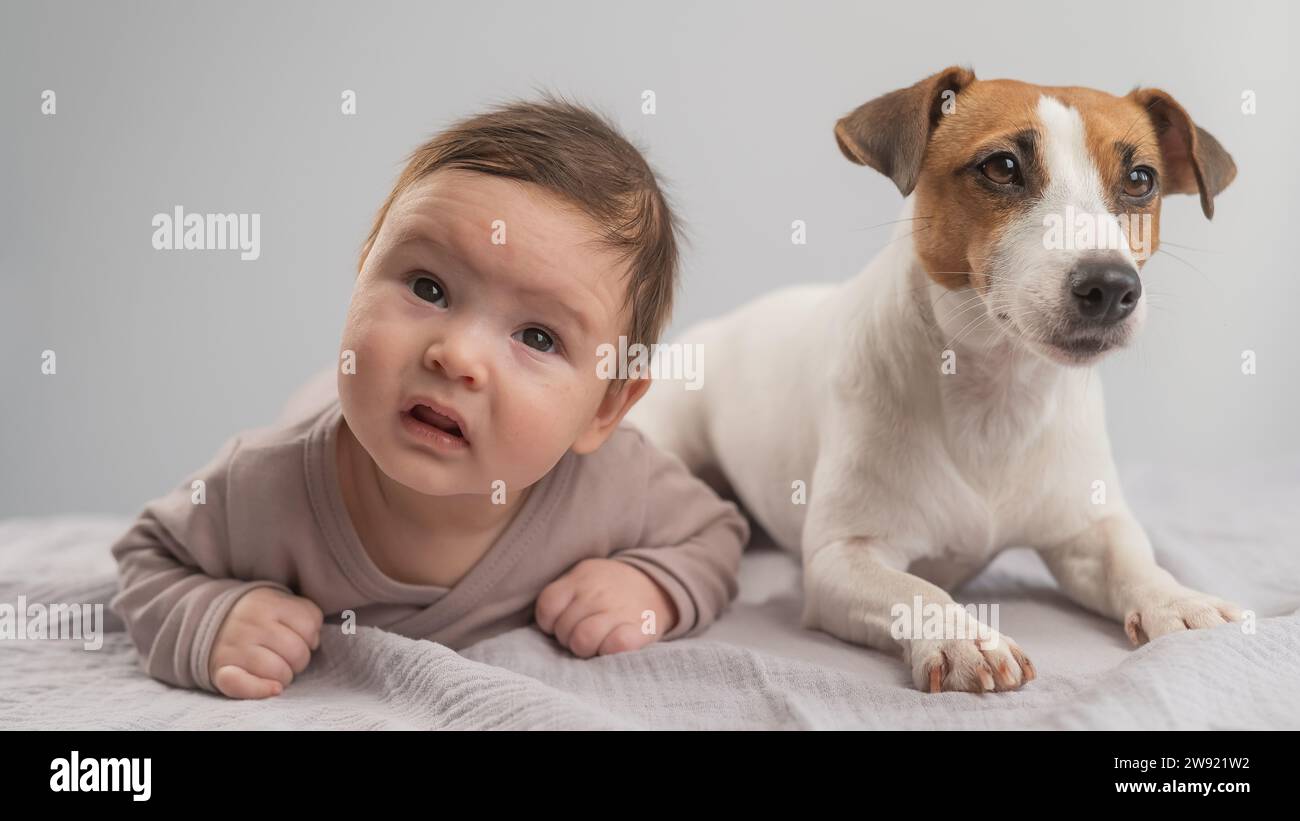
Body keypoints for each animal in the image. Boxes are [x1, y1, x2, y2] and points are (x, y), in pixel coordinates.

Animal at [624, 65, 1242, 691]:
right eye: (1002, 167)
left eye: (1141, 179)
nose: (1111, 286)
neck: (997, 391)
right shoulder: (842, 556)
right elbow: (916, 590)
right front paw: (963, 637)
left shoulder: (1089, 529)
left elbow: (1134, 560)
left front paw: (1179, 601)